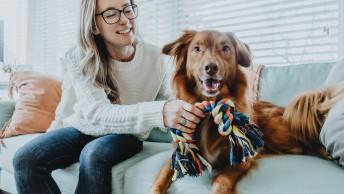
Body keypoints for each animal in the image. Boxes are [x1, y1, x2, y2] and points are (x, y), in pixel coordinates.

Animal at [150, 29, 344, 193]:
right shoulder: (178, 155)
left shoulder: (242, 157)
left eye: (225, 48)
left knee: (308, 140)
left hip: (278, 133)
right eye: (196, 49)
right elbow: (159, 181)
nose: (211, 67)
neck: (211, 107)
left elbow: (221, 180)